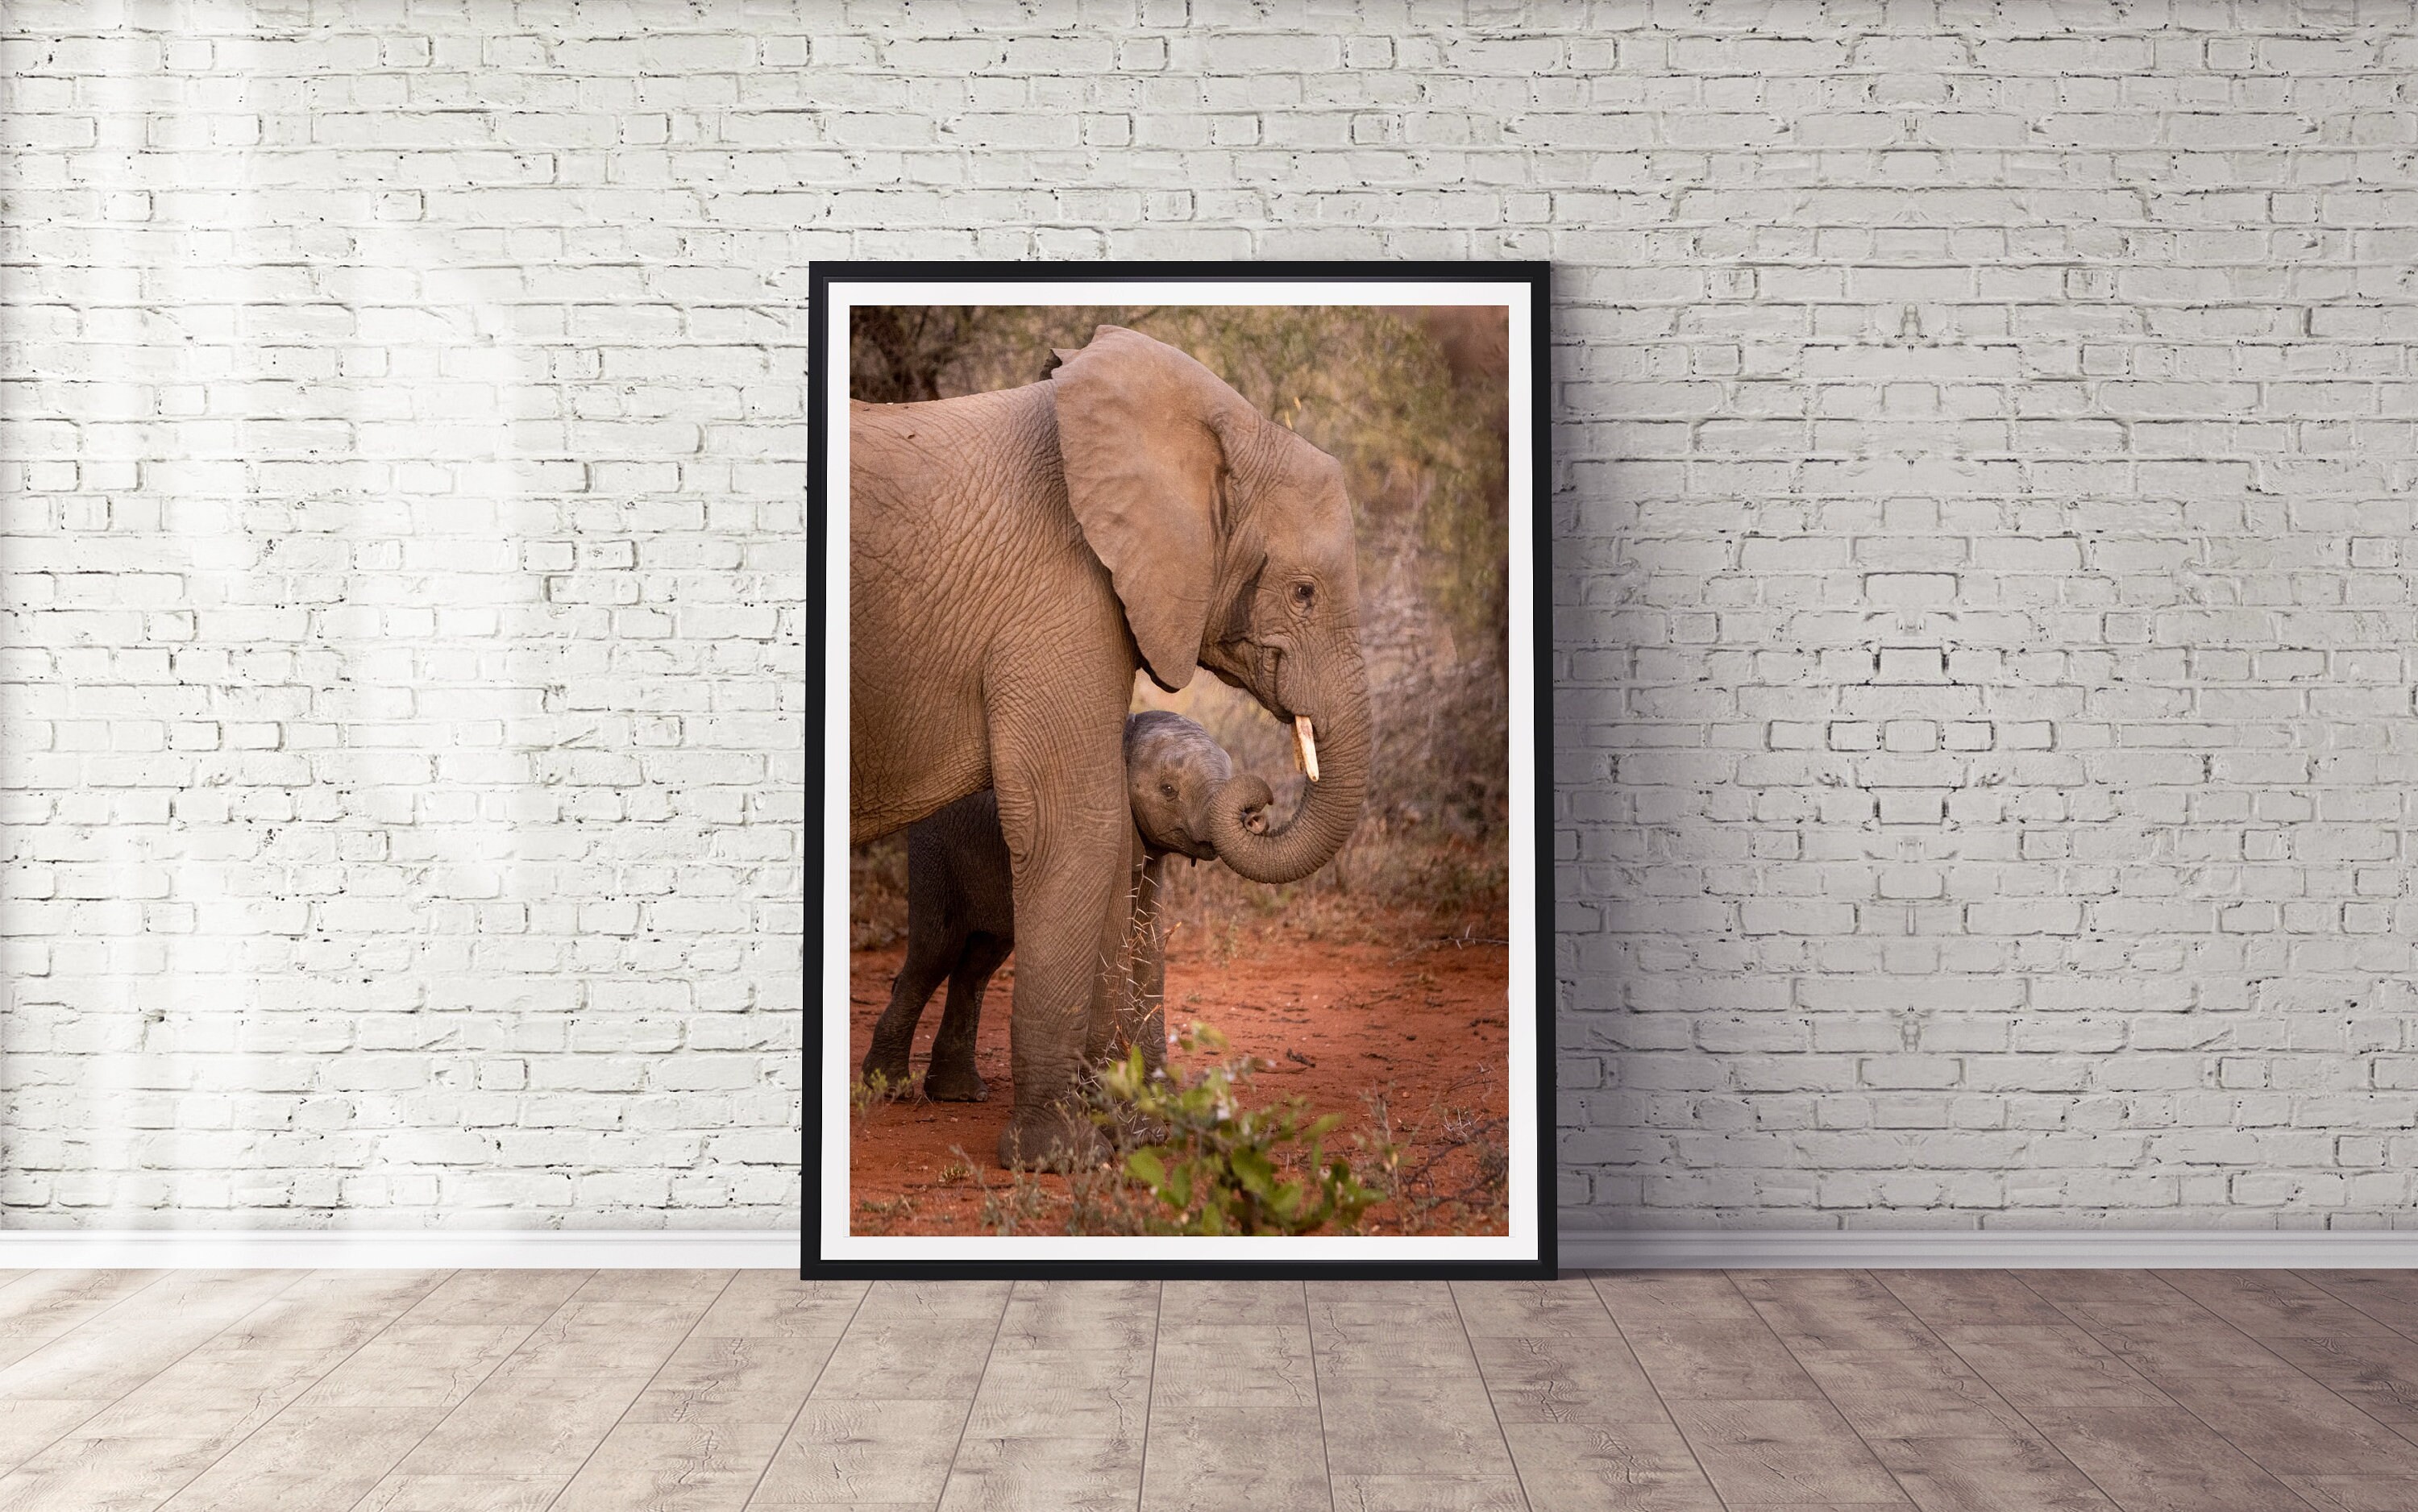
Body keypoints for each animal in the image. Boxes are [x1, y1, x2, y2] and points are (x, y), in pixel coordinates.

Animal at [857, 711, 1273, 1104]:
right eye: (1168, 790)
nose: (1256, 815)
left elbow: (1148, 952)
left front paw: (1162, 1101)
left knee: (978, 965)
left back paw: (960, 1095)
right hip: (936, 856)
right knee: (934, 955)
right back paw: (889, 1090)